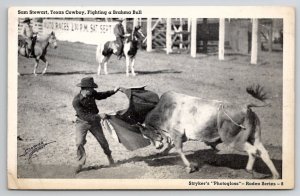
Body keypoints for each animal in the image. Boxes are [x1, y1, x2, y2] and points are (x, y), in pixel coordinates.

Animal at [139, 85, 280, 178]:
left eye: (146, 136)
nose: (156, 146)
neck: (164, 110)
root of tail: (245, 106)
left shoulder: (176, 134)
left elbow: (179, 150)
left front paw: (189, 167)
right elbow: (172, 147)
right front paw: (162, 153)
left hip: (234, 141)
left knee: (253, 152)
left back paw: (250, 170)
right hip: (255, 138)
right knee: (264, 153)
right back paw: (275, 175)